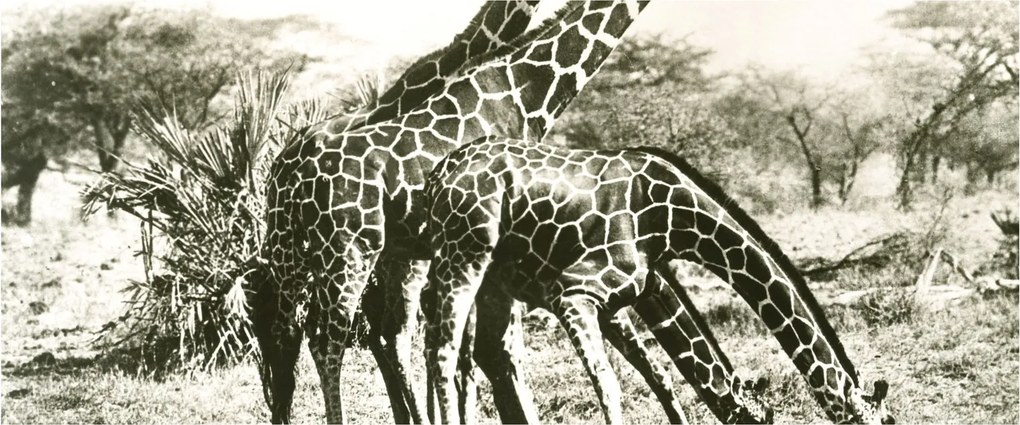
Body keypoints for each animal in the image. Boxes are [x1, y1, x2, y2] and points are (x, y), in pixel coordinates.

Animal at [252, 1, 652, 423]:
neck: (526, 91)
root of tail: (291, 173)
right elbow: (491, 348)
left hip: (292, 251)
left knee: (289, 334)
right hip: (351, 250)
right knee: (328, 338)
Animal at [423, 136, 894, 424]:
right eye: (883, 421)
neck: (673, 217)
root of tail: (436, 176)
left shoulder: (634, 293)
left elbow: (663, 378)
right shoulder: (574, 292)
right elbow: (611, 385)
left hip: (481, 277)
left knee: (471, 353)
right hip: (467, 252)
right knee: (443, 351)